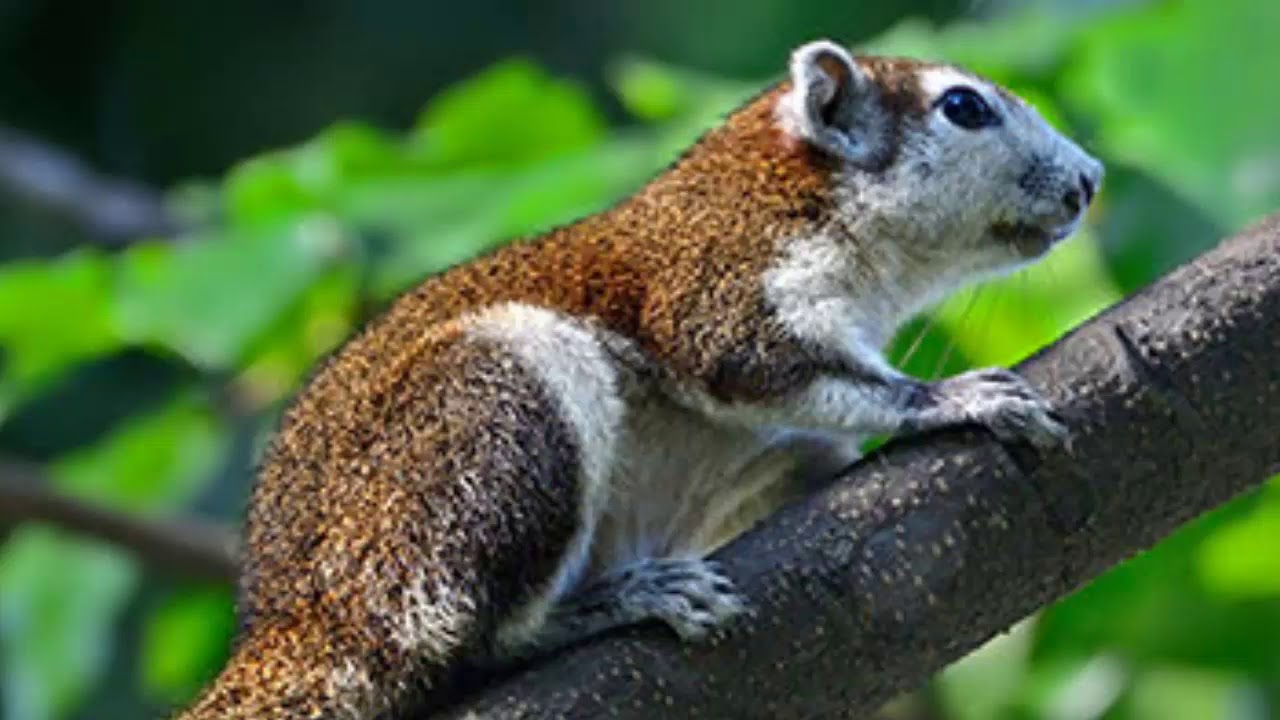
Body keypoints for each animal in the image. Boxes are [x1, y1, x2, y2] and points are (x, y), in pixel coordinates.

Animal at [177, 40, 1103, 719]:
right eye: (963, 107)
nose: (1090, 179)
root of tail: (305, 619)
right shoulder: (717, 280)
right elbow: (748, 358)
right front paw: (951, 399)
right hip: (485, 423)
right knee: (464, 632)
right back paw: (612, 603)